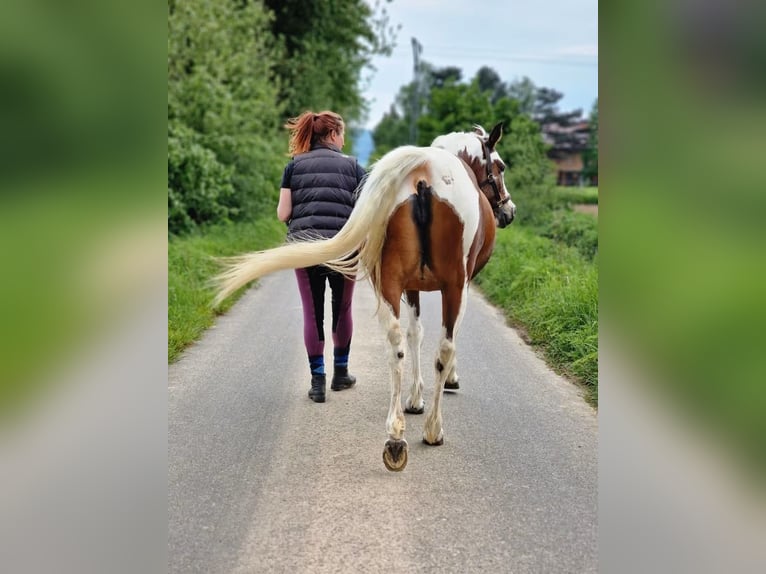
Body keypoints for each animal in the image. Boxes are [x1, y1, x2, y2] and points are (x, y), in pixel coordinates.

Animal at [213, 122, 520, 472]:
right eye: (500, 167)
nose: (509, 211)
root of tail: (424, 173)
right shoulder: (461, 285)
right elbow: (437, 341)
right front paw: (444, 386)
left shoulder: (411, 287)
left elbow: (415, 334)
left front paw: (414, 398)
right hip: (453, 286)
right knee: (443, 349)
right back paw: (432, 429)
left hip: (391, 285)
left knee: (396, 345)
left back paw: (395, 436)